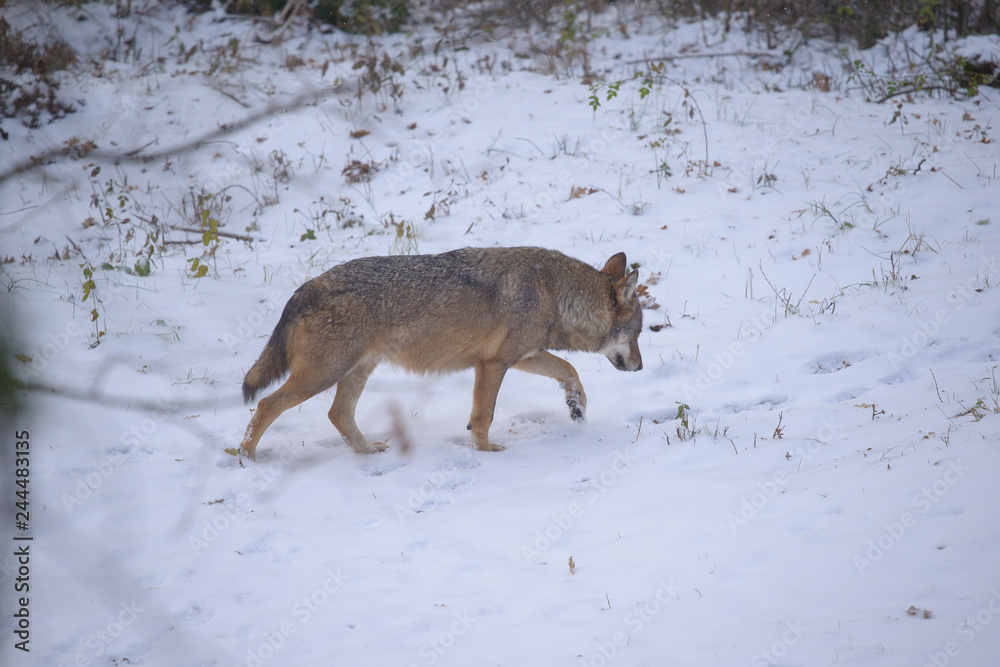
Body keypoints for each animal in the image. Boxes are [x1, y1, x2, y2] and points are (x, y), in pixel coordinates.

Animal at [243, 245, 648, 460]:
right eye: (639, 334)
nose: (642, 367)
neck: (556, 294)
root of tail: (305, 288)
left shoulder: (521, 356)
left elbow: (569, 371)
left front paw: (576, 406)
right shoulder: (494, 363)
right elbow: (484, 416)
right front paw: (486, 452)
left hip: (355, 372)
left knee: (337, 414)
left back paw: (367, 451)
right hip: (322, 375)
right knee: (264, 405)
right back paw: (246, 459)